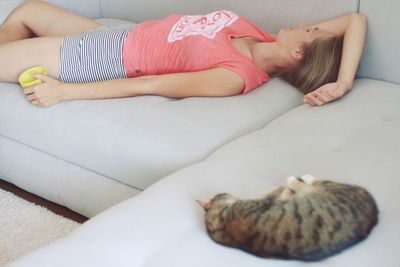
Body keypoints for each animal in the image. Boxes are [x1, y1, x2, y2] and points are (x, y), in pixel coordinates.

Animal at [198, 176, 380, 262]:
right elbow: (279, 194)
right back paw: (299, 179)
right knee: (316, 183)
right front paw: (285, 188)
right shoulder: (268, 201)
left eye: (219, 193)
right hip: (333, 191)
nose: (224, 191)